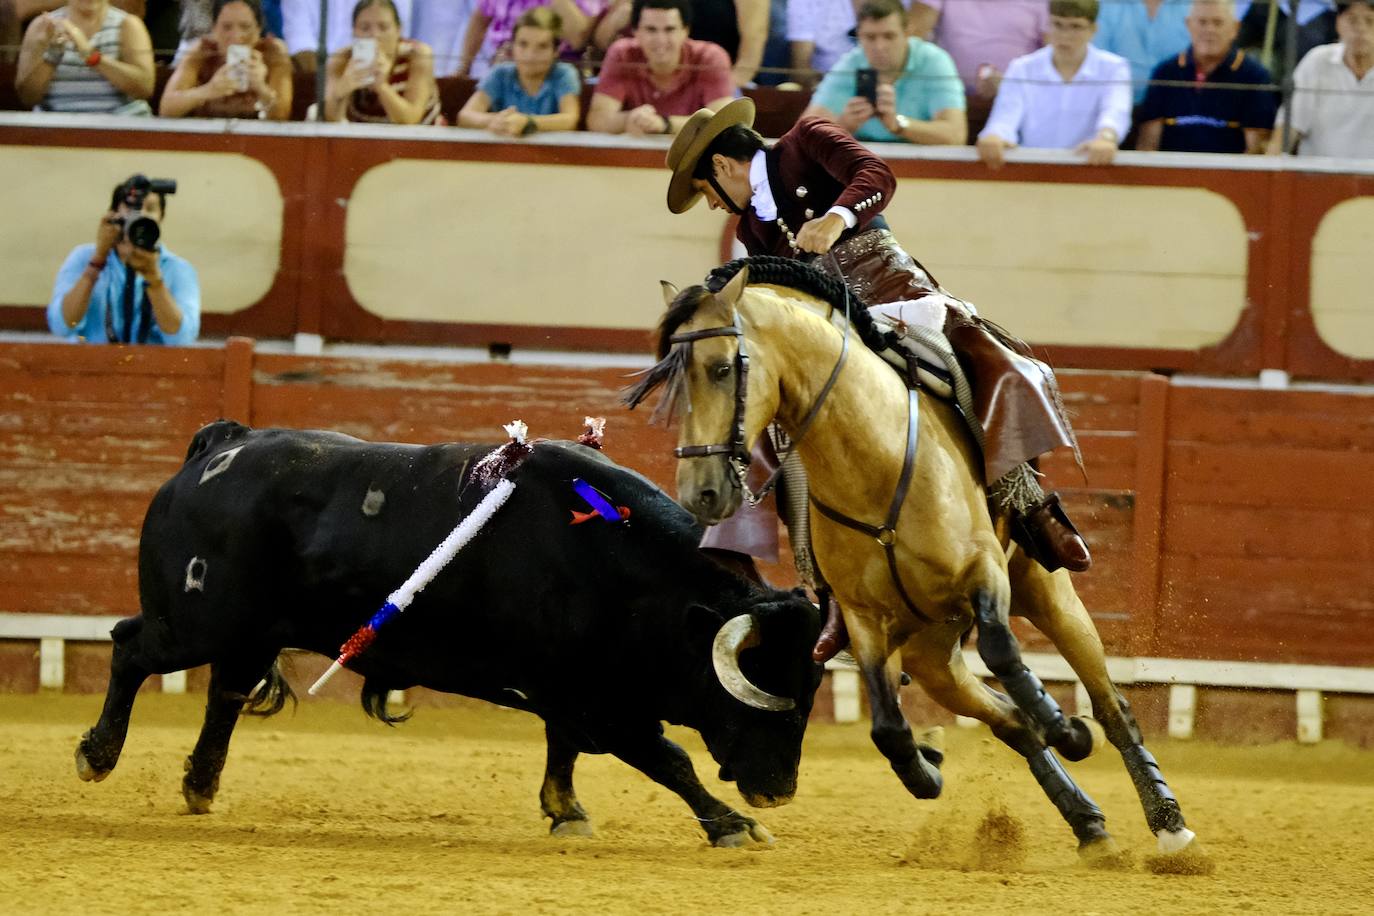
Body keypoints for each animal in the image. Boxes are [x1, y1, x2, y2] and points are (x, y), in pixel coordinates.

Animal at [77, 422, 824, 845]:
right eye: (755, 696)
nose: (780, 791)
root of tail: (222, 446)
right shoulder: (601, 706)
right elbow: (670, 759)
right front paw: (734, 825)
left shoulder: (571, 693)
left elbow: (565, 753)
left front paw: (566, 812)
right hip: (193, 623)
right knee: (130, 648)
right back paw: (98, 754)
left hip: (248, 633)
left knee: (224, 696)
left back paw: (200, 786)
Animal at [629, 258, 1209, 867]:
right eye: (669, 384)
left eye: (721, 368)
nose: (701, 492)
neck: (872, 466)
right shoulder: (864, 620)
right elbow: (887, 726)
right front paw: (928, 769)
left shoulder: (984, 571)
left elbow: (1004, 651)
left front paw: (1066, 727)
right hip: (932, 655)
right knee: (1010, 722)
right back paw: (1086, 822)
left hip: (1043, 589)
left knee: (1110, 705)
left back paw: (1166, 823)